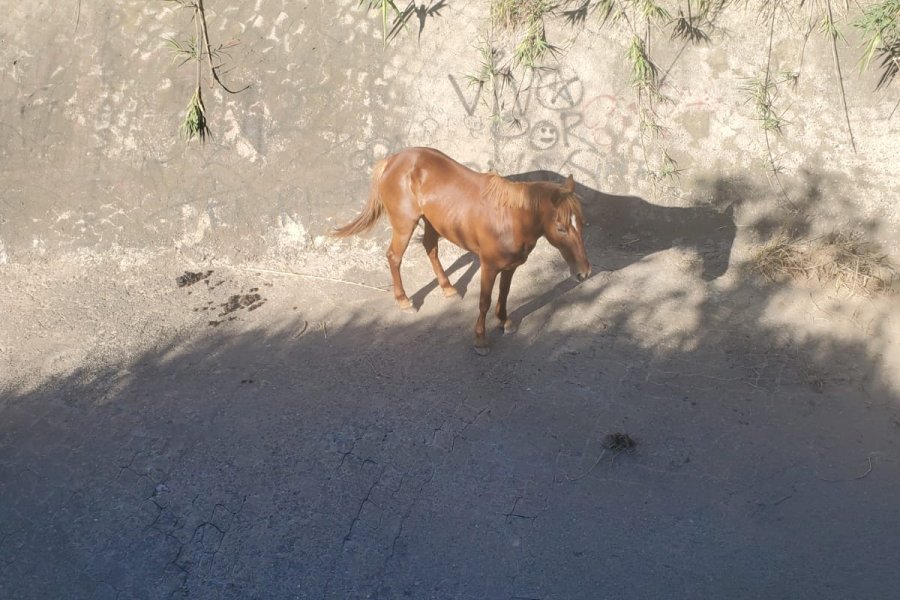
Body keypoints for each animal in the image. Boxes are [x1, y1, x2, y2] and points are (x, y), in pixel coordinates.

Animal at [331, 147, 591, 354]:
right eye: (561, 228)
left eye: (582, 222)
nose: (584, 272)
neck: (510, 219)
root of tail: (393, 160)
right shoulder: (489, 266)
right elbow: (485, 301)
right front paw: (480, 339)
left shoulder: (511, 266)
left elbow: (504, 294)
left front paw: (505, 322)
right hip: (405, 224)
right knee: (394, 257)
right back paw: (404, 301)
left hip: (433, 221)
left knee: (430, 248)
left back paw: (448, 289)